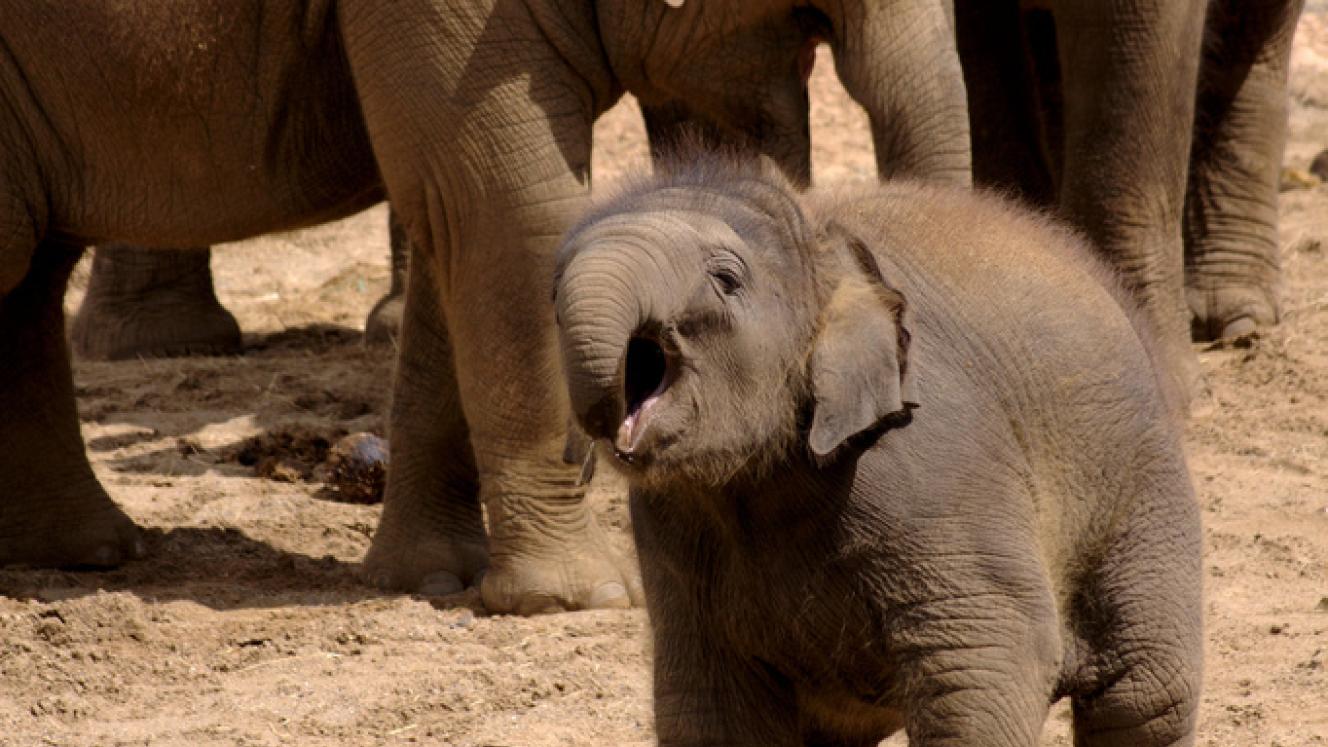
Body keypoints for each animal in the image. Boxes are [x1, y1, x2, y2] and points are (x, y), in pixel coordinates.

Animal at [0, 0, 970, 614]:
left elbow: (451, 226)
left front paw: (430, 580)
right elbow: (513, 216)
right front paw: (580, 600)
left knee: (31, 279)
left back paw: (90, 553)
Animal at [554, 156, 1202, 745]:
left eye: (727, 278)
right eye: (552, 286)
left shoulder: (934, 468)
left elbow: (989, 661)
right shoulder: (673, 534)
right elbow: (714, 713)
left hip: (1136, 482)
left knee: (1144, 698)